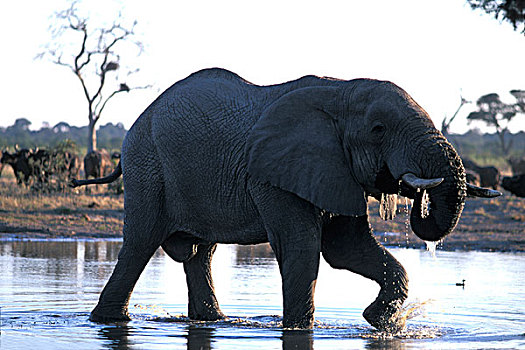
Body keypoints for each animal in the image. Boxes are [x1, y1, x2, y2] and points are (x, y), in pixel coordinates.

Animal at [70, 67, 500, 330]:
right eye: (378, 130)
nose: (417, 193)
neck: (341, 91)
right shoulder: (274, 174)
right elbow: (303, 248)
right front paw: (299, 329)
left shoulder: (333, 169)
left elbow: (347, 248)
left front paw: (381, 321)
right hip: (147, 167)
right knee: (140, 244)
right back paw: (106, 323)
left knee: (200, 254)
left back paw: (212, 322)